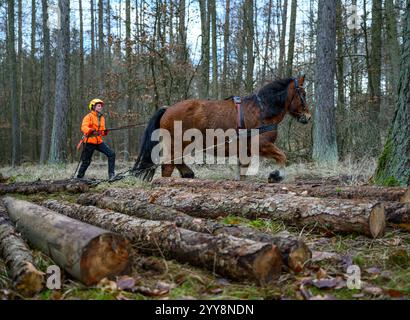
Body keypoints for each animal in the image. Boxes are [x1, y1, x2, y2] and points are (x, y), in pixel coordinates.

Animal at [134, 74, 310, 182]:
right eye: (304, 94)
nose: (308, 117)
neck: (263, 110)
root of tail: (168, 109)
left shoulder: (245, 151)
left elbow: (243, 172)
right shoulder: (262, 145)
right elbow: (282, 156)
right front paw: (276, 175)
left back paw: (188, 173)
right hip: (175, 145)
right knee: (168, 167)